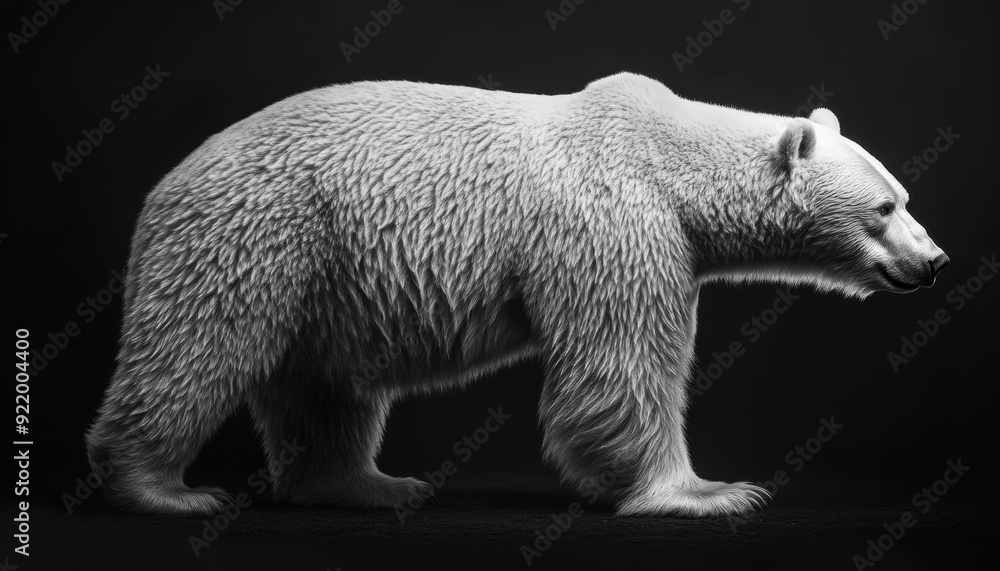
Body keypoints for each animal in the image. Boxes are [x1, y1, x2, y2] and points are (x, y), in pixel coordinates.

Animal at [85, 72, 948, 518]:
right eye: (885, 207)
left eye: (906, 195)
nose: (935, 260)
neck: (670, 155)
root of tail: (165, 183)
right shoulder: (614, 216)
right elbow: (622, 359)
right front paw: (711, 491)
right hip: (257, 234)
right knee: (198, 348)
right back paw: (163, 488)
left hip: (326, 277)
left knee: (325, 389)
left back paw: (367, 483)